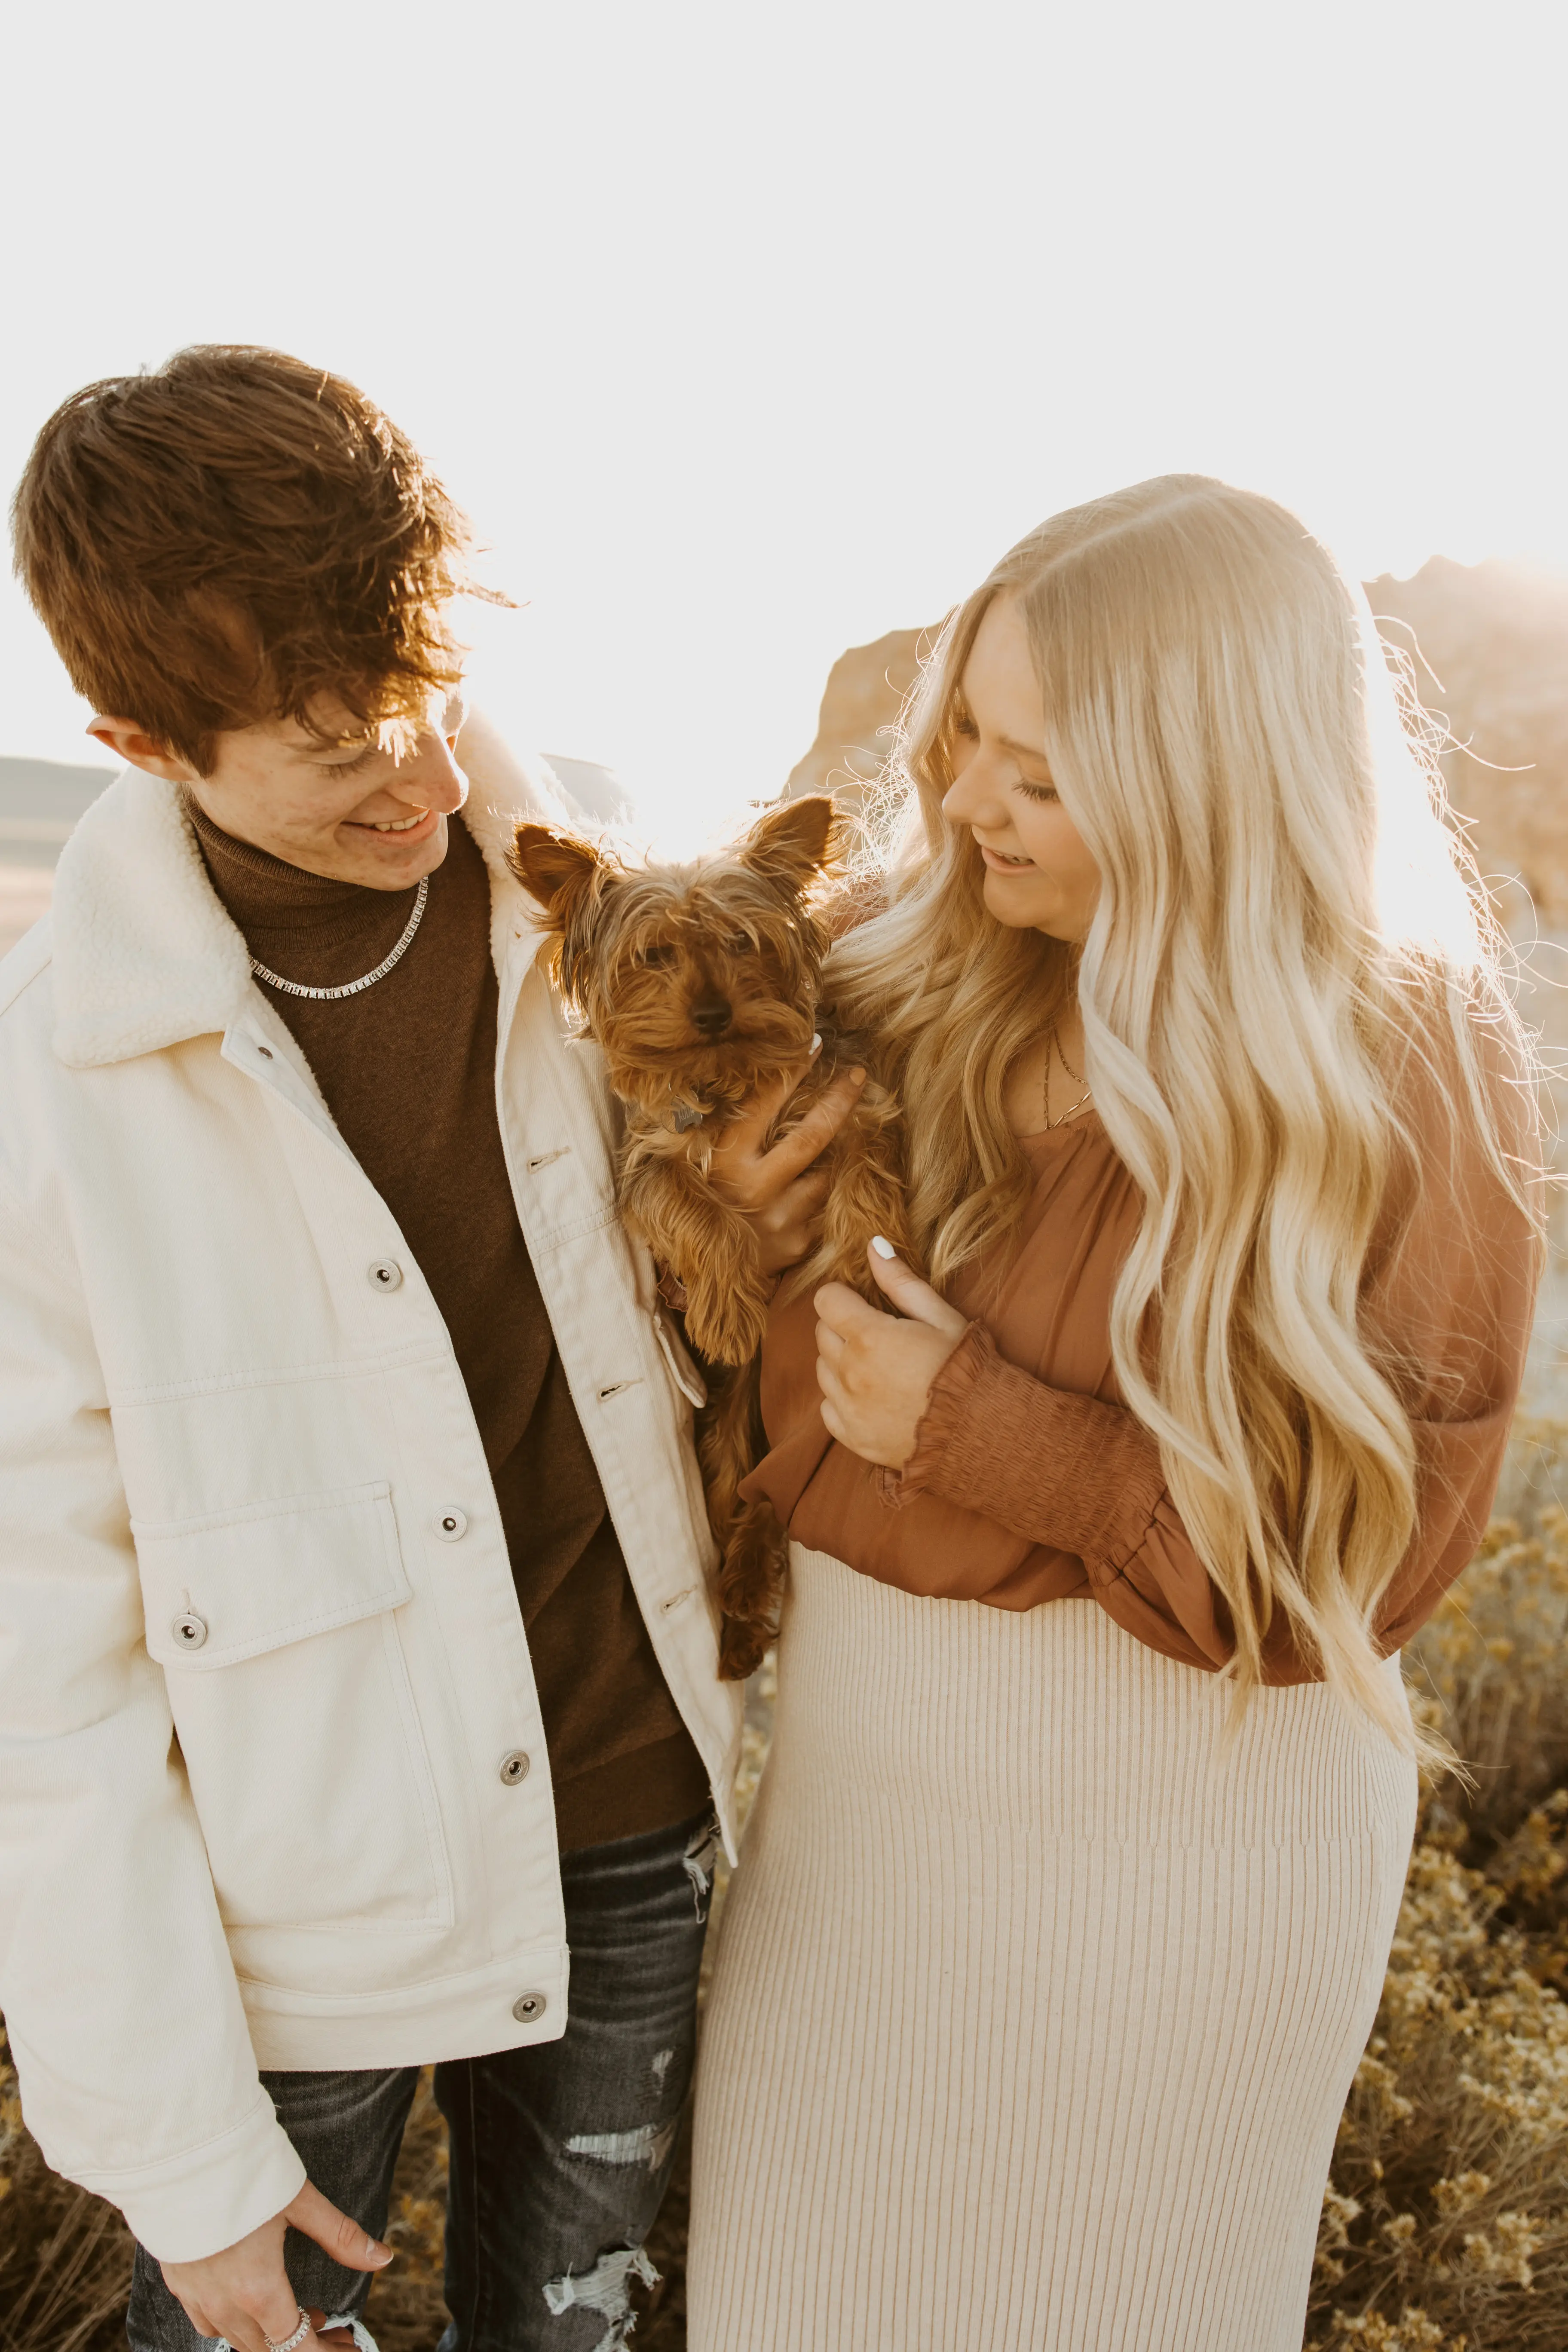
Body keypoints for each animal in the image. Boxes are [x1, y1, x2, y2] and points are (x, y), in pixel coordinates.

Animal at [510, 799, 912, 1684]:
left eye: (741, 943)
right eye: (653, 956)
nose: (712, 1015)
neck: (723, 1078)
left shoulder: (843, 1098)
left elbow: (866, 1175)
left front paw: (864, 1262)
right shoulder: (648, 1167)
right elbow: (703, 1213)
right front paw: (727, 1313)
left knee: (765, 1502)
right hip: (724, 1439)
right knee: (742, 1493)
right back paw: (736, 1622)